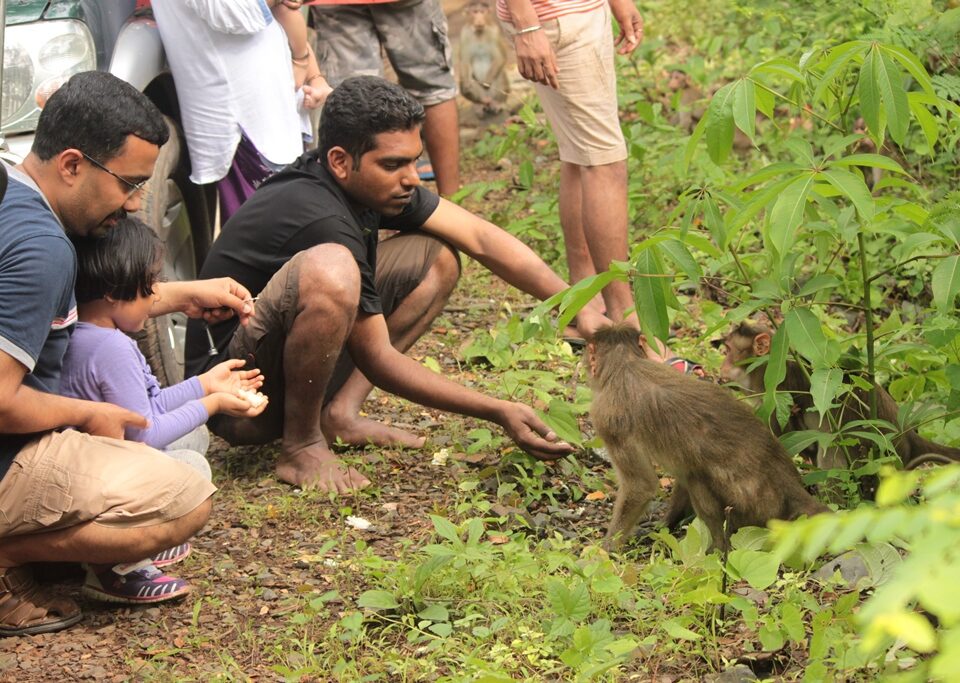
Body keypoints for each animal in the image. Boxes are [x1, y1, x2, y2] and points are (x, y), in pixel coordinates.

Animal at [584, 324, 824, 552]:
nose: (589, 368)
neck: (626, 363)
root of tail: (792, 485)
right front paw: (664, 523)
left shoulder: (606, 419)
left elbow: (641, 486)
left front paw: (605, 549)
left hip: (755, 504)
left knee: (696, 477)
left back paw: (717, 548)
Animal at [720, 320, 960, 470]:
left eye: (729, 351)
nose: (722, 365)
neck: (765, 365)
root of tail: (908, 435)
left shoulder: (778, 390)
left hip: (879, 451)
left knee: (833, 450)